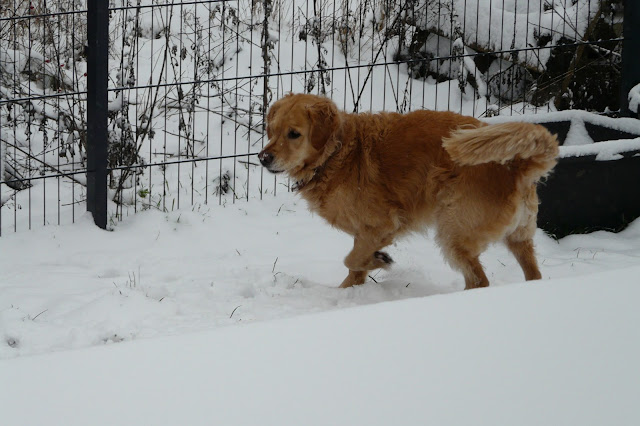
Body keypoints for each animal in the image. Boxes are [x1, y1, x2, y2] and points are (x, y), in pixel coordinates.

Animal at [258, 94, 556, 290]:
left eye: (294, 134)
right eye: (272, 130)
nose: (263, 158)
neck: (337, 153)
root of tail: (516, 166)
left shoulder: (382, 224)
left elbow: (351, 259)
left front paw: (380, 262)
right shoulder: (364, 233)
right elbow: (354, 267)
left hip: (454, 232)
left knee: (479, 280)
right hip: (519, 239)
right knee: (533, 275)